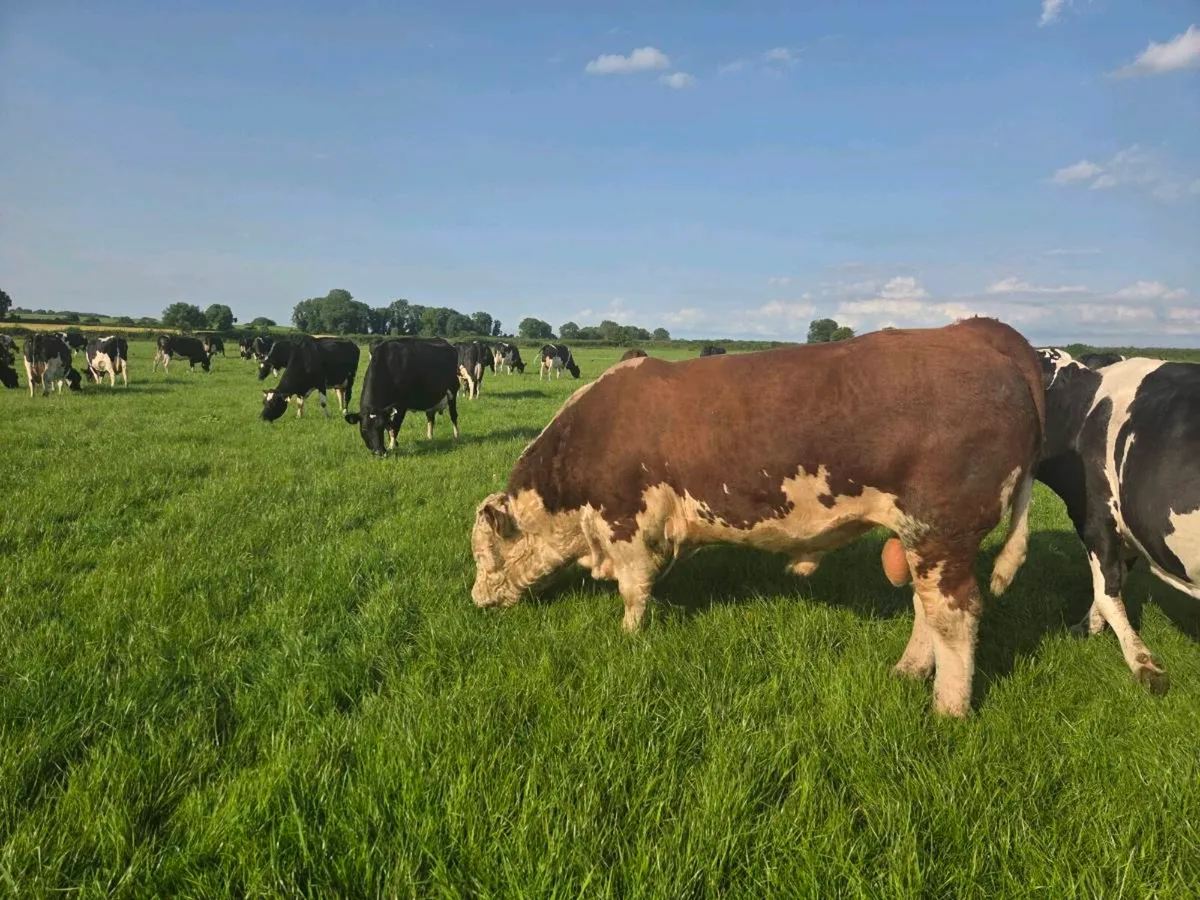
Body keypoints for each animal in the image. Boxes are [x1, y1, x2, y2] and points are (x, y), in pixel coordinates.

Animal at [471, 317, 1046, 718]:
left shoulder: (625, 523)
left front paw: (628, 636)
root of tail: (973, 331)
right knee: (926, 607)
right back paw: (907, 671)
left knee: (954, 615)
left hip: (941, 531)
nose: (476, 600)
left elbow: (634, 590)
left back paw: (948, 708)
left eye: (484, 557)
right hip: (921, 539)